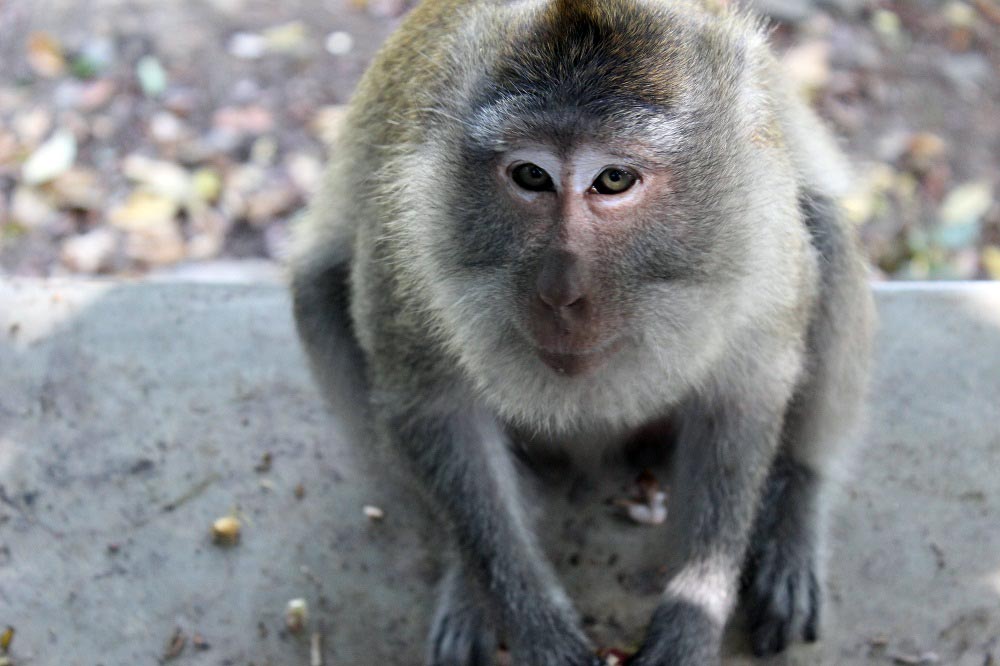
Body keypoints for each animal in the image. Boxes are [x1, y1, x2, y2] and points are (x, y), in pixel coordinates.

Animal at [290, 2, 876, 660]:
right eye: (530, 176)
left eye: (614, 180)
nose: (561, 294)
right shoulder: (405, 243)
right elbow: (433, 410)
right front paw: (532, 620)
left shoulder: (761, 222)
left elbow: (742, 394)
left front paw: (693, 615)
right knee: (315, 291)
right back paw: (467, 582)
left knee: (826, 226)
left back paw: (795, 512)